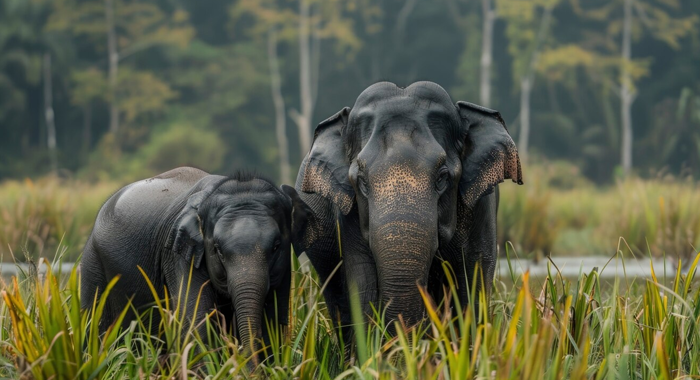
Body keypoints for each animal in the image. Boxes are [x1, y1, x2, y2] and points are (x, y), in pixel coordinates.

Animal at [80, 168, 308, 354]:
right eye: (217, 250)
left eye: (276, 247)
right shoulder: (178, 254)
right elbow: (196, 324)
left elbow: (273, 324)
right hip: (93, 265)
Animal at [288, 81, 524, 336]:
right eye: (361, 181)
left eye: (442, 177)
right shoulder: (349, 213)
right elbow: (363, 282)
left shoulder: (481, 207)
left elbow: (473, 279)